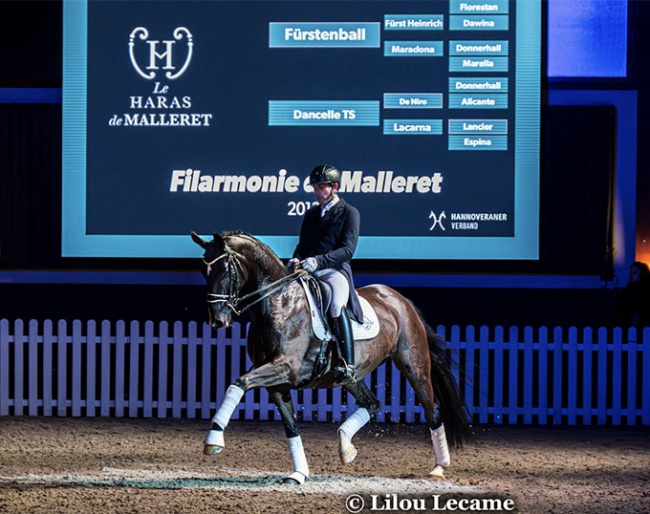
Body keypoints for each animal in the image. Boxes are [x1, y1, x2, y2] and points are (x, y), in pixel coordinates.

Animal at [190, 230, 468, 482]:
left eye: (225, 269)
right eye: (204, 271)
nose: (218, 321)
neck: (279, 301)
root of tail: (400, 300)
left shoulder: (286, 368)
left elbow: (239, 382)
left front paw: (213, 440)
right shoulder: (276, 382)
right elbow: (290, 426)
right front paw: (299, 474)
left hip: (414, 367)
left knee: (432, 412)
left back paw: (439, 468)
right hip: (352, 376)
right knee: (373, 404)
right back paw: (346, 447)